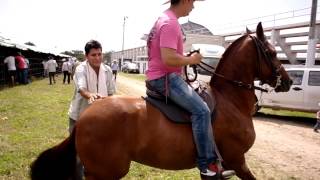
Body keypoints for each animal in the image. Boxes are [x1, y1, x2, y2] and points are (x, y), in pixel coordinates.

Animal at [30, 22, 292, 180]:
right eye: (272, 53)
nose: (288, 81)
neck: (230, 100)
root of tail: (86, 116)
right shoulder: (238, 160)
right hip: (104, 173)